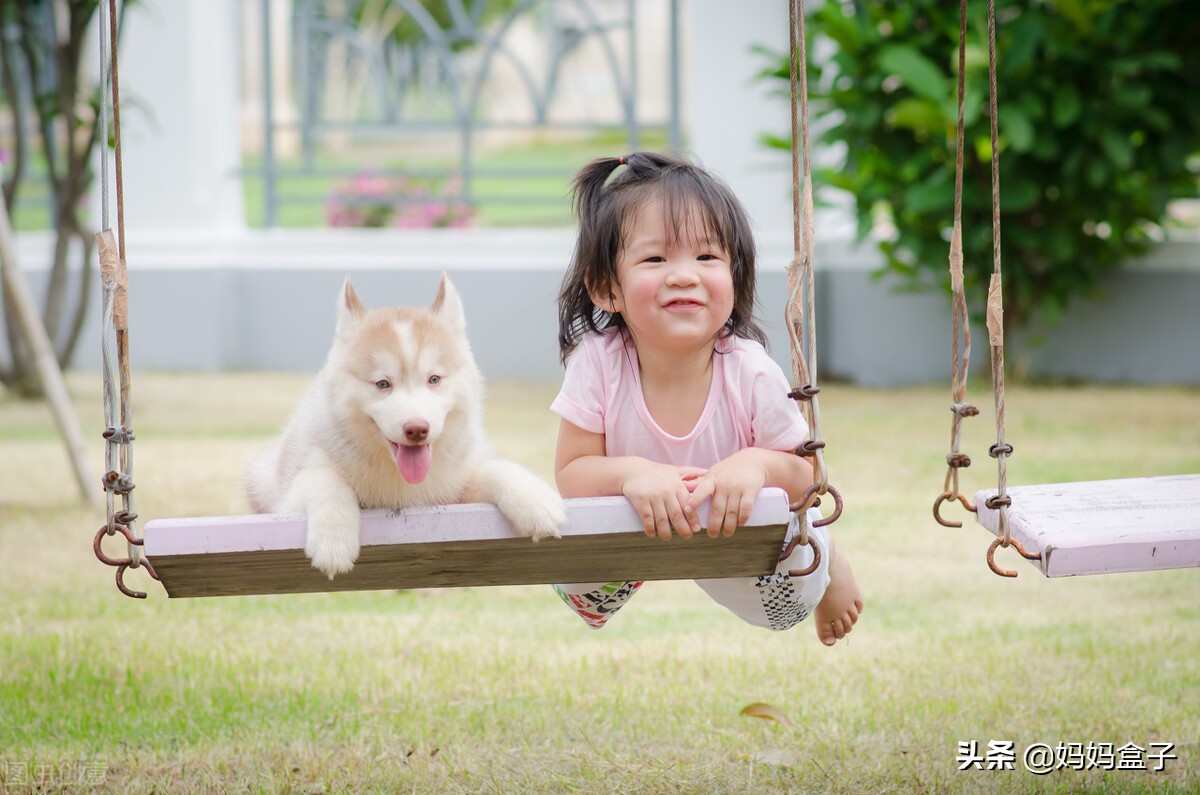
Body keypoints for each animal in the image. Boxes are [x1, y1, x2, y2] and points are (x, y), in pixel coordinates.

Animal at [246, 273, 564, 578]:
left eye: (434, 379)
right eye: (382, 384)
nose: (417, 429)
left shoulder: (457, 490)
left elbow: (495, 468)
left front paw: (537, 501)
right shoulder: (292, 495)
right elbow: (326, 481)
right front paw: (333, 542)